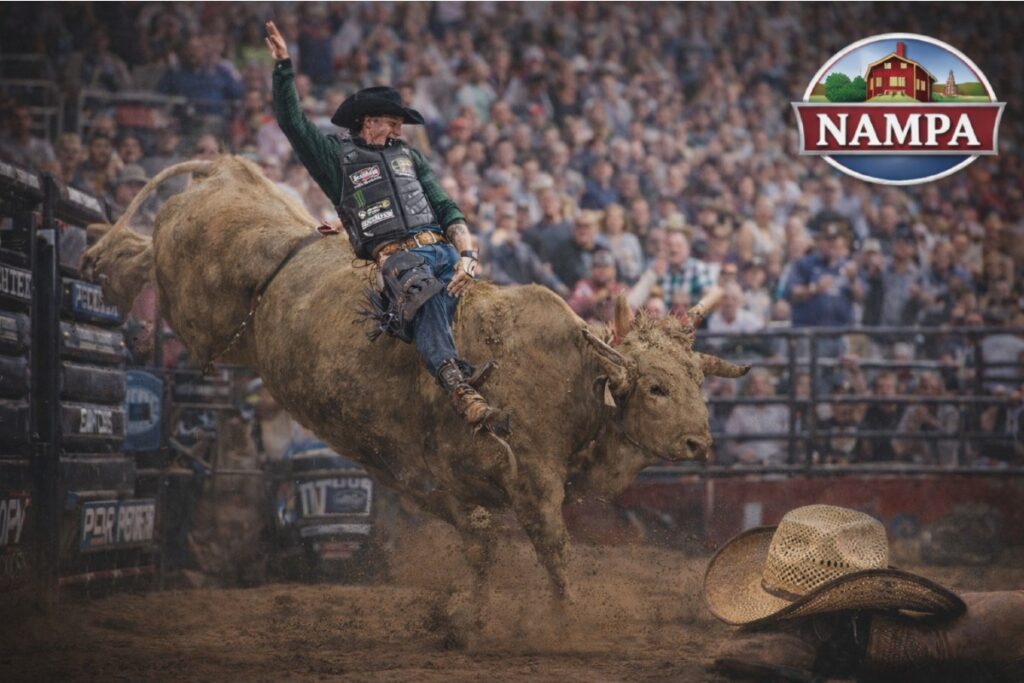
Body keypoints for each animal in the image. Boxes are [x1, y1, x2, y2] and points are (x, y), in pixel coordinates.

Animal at [83, 156, 748, 613]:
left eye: (696, 379)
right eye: (656, 387)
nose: (699, 442)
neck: (572, 378)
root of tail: (227, 169)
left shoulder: (440, 480)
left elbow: (479, 542)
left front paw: (466, 619)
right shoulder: (521, 483)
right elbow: (547, 551)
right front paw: (565, 620)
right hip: (196, 312)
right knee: (144, 259)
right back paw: (100, 257)